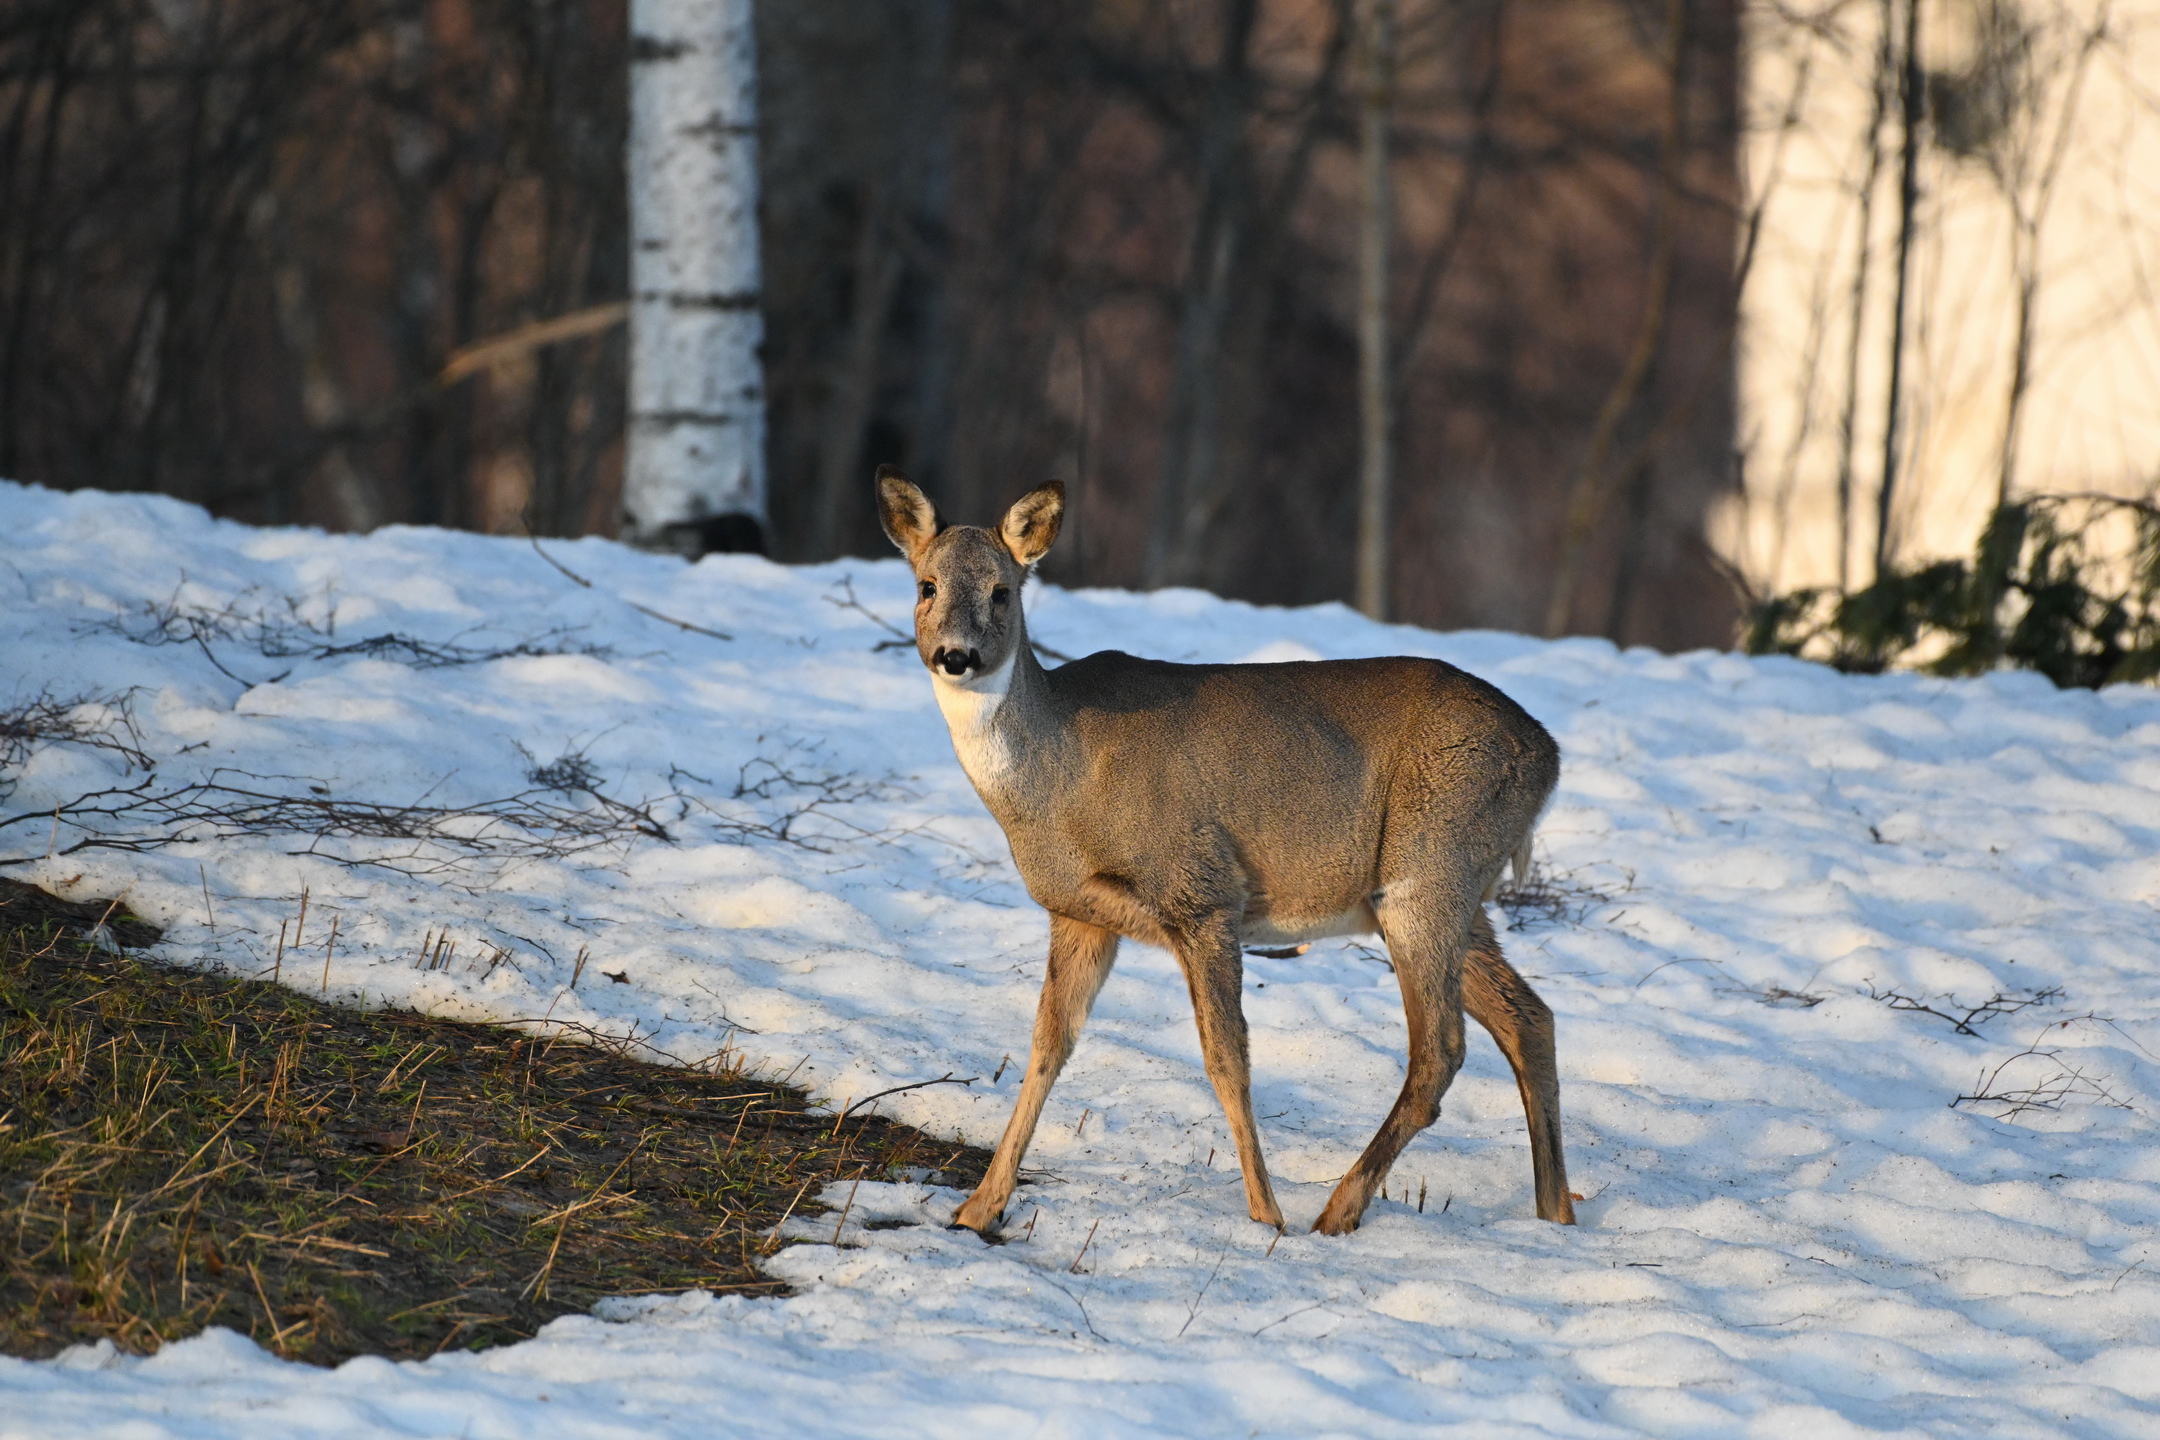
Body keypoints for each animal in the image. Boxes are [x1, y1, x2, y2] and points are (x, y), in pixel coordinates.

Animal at [876, 468, 1572, 1234]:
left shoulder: (1204, 893)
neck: (1061, 778)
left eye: (1003, 590)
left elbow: (1225, 1058)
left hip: (1430, 866)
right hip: (1450, 893)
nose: (956, 655)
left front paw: (1266, 1217)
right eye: (926, 585)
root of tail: (1548, 753)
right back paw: (1556, 1214)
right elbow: (1048, 1046)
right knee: (1529, 1018)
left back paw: (1336, 1210)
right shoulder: (1078, 912)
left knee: (1442, 1049)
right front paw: (978, 1208)